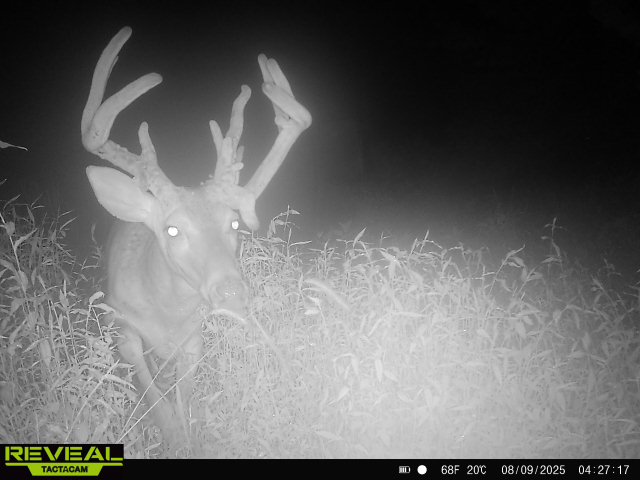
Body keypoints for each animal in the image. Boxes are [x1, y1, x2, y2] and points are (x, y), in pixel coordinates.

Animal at [81, 26, 311, 441]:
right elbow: (160, 409)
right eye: (172, 229)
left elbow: (184, 410)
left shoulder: (193, 340)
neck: (165, 315)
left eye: (234, 223)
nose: (231, 292)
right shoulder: (122, 328)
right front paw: (167, 433)